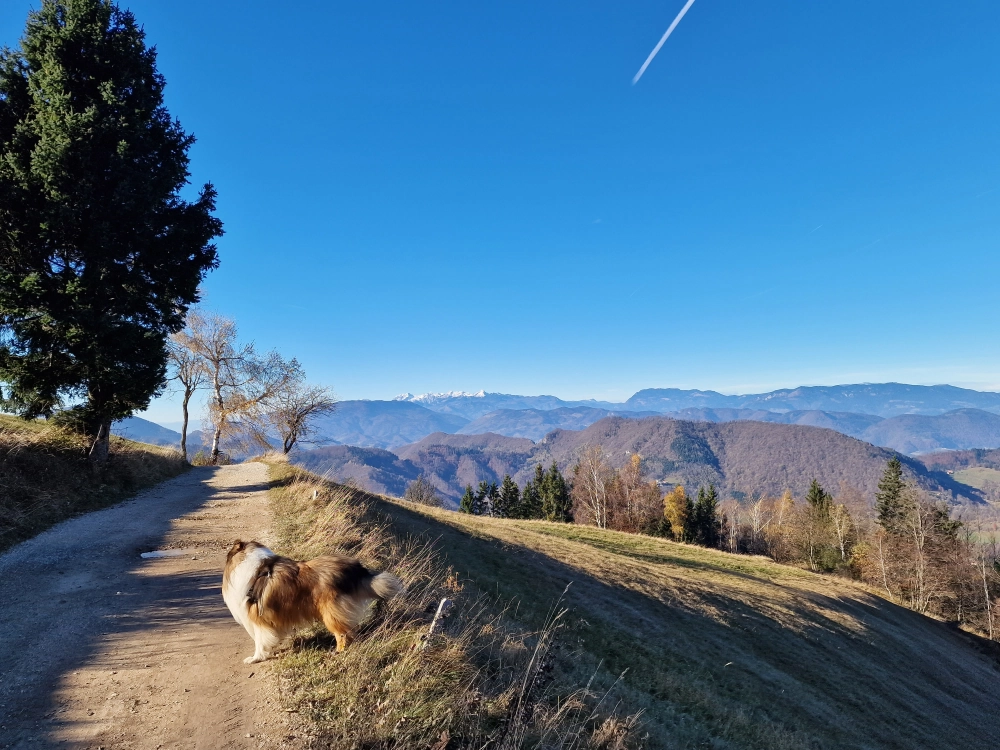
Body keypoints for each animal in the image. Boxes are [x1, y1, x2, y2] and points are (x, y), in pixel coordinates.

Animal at [223, 540, 402, 664]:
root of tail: (357, 570)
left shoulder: (258, 620)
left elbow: (260, 642)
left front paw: (255, 658)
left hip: (331, 613)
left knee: (343, 634)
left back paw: (339, 652)